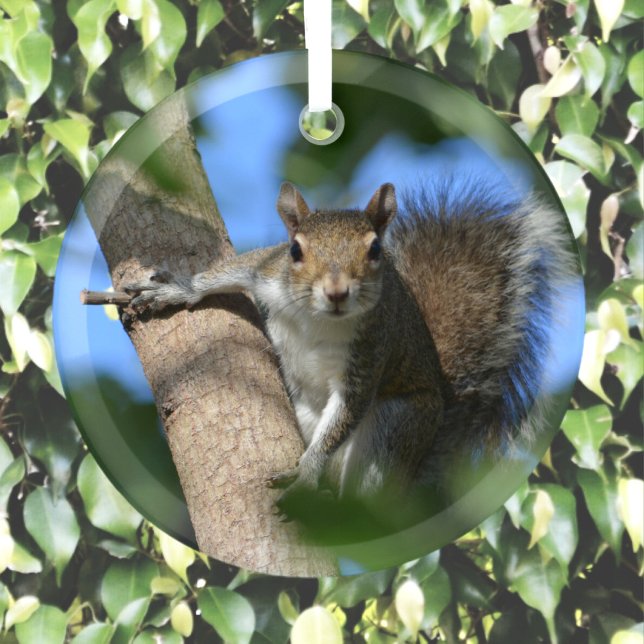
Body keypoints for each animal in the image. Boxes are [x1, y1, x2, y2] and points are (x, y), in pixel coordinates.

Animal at [126, 179, 576, 525]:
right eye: (295, 250)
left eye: (375, 250)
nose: (337, 291)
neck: (319, 316)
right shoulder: (268, 270)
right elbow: (229, 271)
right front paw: (176, 289)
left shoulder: (372, 351)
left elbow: (349, 408)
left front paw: (306, 474)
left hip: (398, 428)